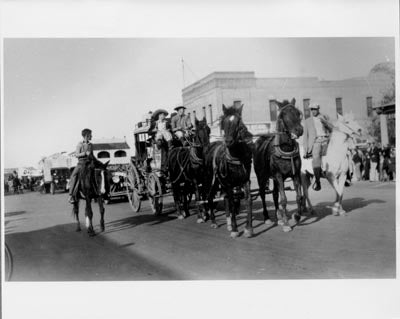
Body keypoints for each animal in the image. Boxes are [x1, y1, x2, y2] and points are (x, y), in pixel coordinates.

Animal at [203, 104, 253, 238]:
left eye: (238, 123)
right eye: (223, 123)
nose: (229, 141)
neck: (237, 157)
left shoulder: (245, 181)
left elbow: (247, 200)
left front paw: (248, 228)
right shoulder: (229, 183)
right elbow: (232, 203)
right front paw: (235, 229)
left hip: (221, 183)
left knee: (224, 198)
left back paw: (228, 223)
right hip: (211, 181)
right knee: (209, 197)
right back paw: (214, 221)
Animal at [253, 99, 304, 232]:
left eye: (298, 113)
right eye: (284, 114)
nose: (299, 130)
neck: (286, 148)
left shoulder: (296, 175)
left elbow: (299, 197)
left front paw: (297, 216)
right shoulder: (279, 176)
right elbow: (284, 200)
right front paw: (286, 224)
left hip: (274, 179)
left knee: (275, 194)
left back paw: (279, 216)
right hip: (261, 176)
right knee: (262, 194)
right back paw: (267, 218)